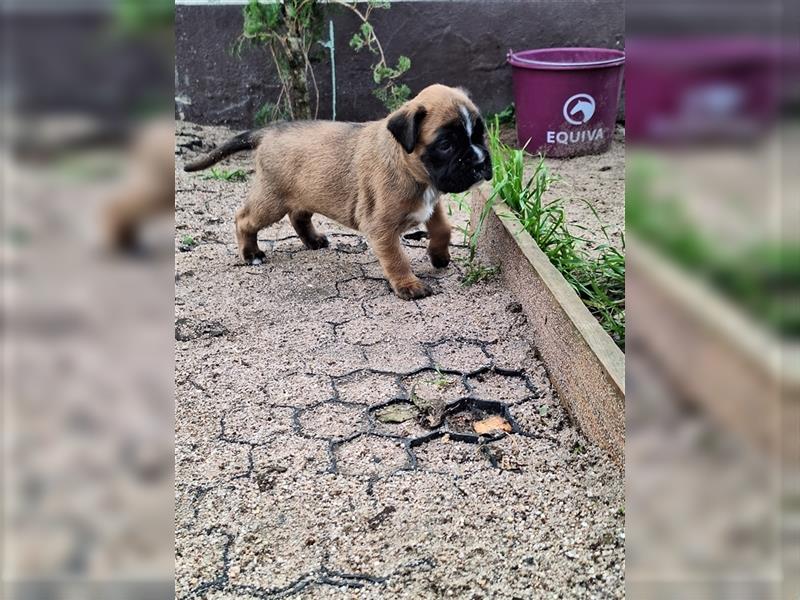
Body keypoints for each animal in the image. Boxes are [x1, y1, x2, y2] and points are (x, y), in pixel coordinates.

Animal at [184, 84, 490, 300]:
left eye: (480, 136)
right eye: (446, 145)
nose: (480, 162)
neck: (411, 168)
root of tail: (268, 132)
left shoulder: (431, 204)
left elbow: (443, 228)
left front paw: (439, 255)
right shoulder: (381, 227)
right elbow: (396, 258)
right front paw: (408, 284)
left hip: (304, 192)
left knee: (298, 216)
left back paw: (312, 240)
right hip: (270, 202)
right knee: (244, 219)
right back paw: (251, 254)